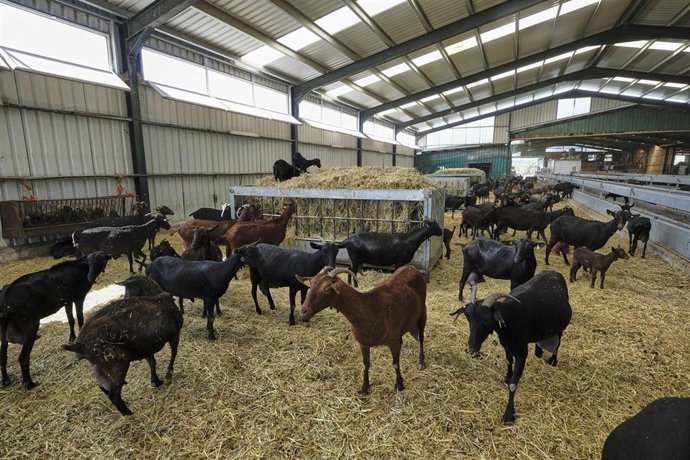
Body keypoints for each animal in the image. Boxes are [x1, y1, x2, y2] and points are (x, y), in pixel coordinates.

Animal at [0, 252, 109, 389]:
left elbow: (71, 319)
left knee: (3, 355)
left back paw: (5, 381)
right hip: (30, 324)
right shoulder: (79, 297)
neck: (82, 267)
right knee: (23, 357)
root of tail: (5, 302)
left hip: (3, 327)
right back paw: (29, 384)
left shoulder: (67, 301)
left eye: (101, 258)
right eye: (97, 259)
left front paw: (72, 338)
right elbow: (79, 318)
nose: (91, 277)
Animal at [63, 279, 182, 415]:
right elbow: (173, 353)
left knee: (103, 386)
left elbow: (152, 362)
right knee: (113, 394)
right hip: (117, 363)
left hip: (99, 365)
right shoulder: (174, 334)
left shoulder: (145, 348)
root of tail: (79, 345)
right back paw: (128, 412)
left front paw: (155, 381)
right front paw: (168, 376)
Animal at [299, 265, 426, 394]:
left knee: (421, 338)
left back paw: (421, 362)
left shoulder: (392, 341)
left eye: (326, 289)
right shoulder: (363, 344)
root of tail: (411, 267)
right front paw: (365, 387)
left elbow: (395, 363)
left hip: (422, 313)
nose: (303, 312)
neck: (369, 309)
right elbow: (366, 365)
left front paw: (399, 385)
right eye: (311, 284)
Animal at [450, 270, 572, 425]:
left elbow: (513, 385)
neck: (511, 319)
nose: (472, 349)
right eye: (468, 318)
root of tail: (554, 272)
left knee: (559, 340)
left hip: (560, 326)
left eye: (487, 322)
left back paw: (553, 360)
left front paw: (508, 415)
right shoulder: (506, 345)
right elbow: (508, 360)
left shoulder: (522, 352)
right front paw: (507, 377)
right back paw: (538, 352)